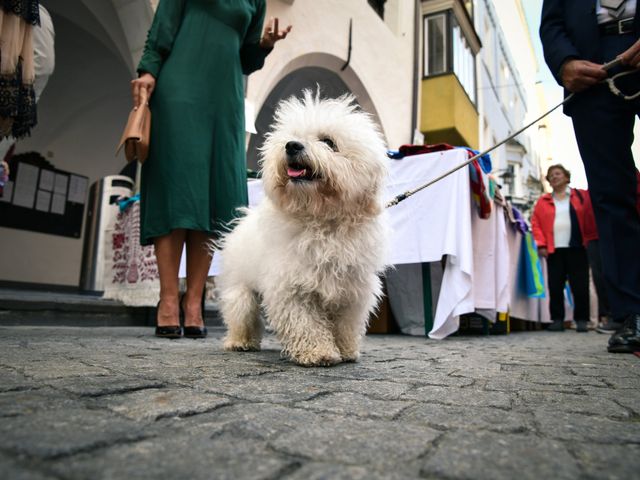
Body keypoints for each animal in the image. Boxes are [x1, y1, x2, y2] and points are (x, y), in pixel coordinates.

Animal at [218, 91, 390, 368]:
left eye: (328, 142)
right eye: (292, 137)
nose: (292, 146)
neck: (321, 219)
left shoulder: (351, 289)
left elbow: (344, 325)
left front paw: (345, 350)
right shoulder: (292, 287)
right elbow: (305, 323)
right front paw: (318, 352)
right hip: (241, 288)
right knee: (241, 314)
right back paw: (240, 342)